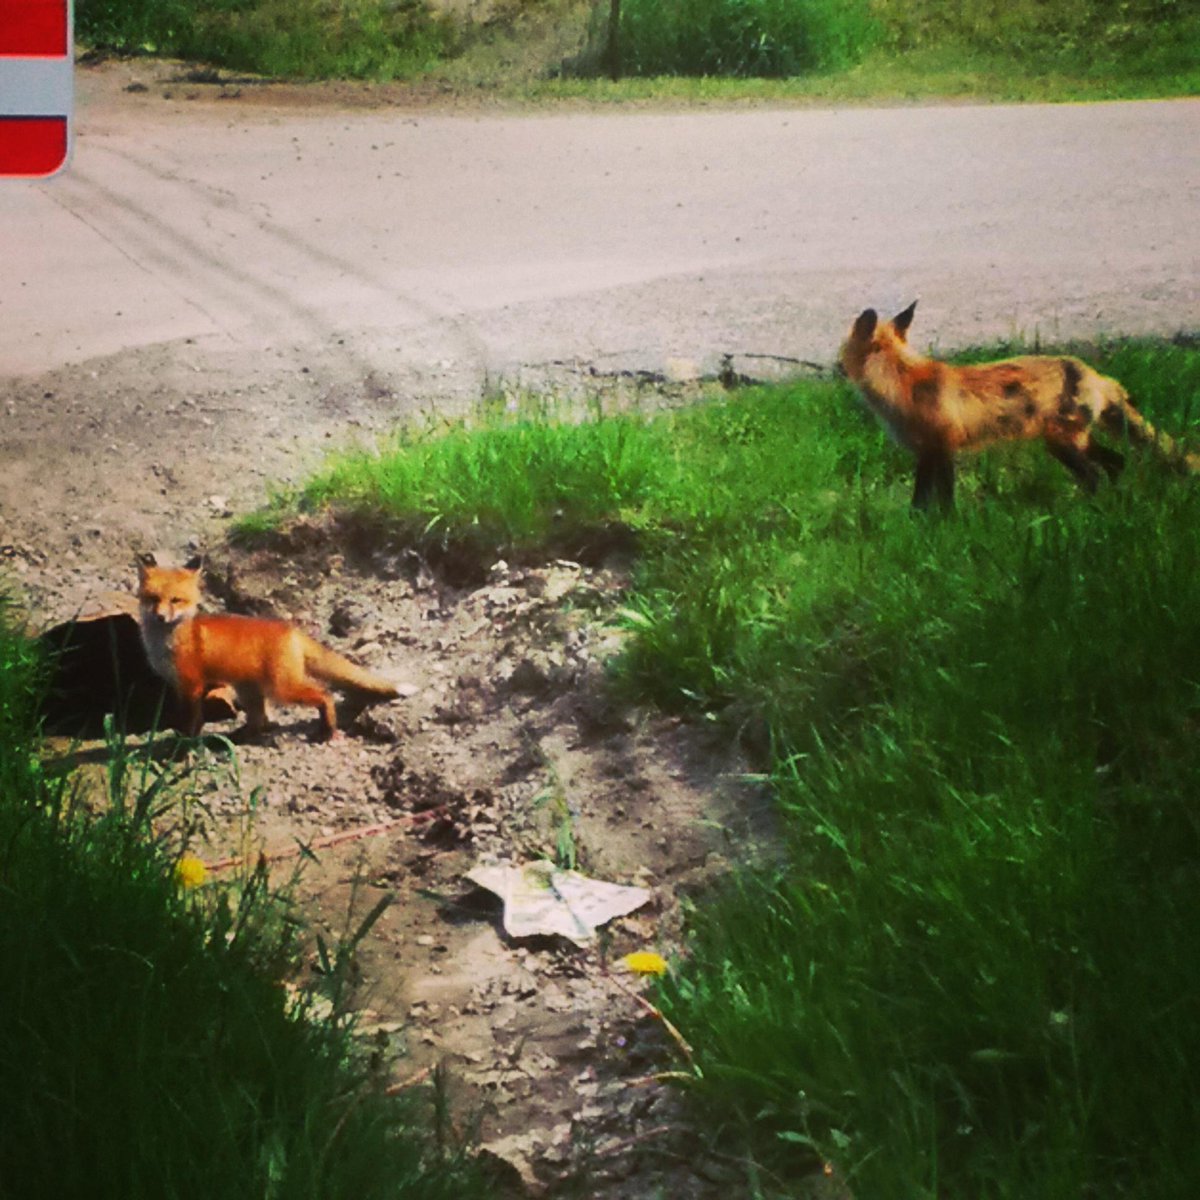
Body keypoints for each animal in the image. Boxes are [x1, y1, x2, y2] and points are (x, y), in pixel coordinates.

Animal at [136, 553, 399, 740]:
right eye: (153, 599)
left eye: (175, 600)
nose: (160, 616)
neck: (168, 642)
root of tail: (290, 630)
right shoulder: (178, 685)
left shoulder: (192, 685)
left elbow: (192, 721)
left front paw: (183, 746)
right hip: (249, 690)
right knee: (260, 721)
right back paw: (239, 737)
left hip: (282, 688)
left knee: (324, 694)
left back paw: (327, 729)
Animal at [838, 301, 1196, 510]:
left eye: (842, 347)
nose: (836, 366)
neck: (902, 381)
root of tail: (1095, 375)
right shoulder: (934, 452)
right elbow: (931, 499)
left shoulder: (937, 448)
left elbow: (933, 500)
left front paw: (940, 528)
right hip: (1074, 441)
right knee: (1117, 463)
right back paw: (1115, 503)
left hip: (1062, 443)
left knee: (1095, 475)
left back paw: (1090, 511)